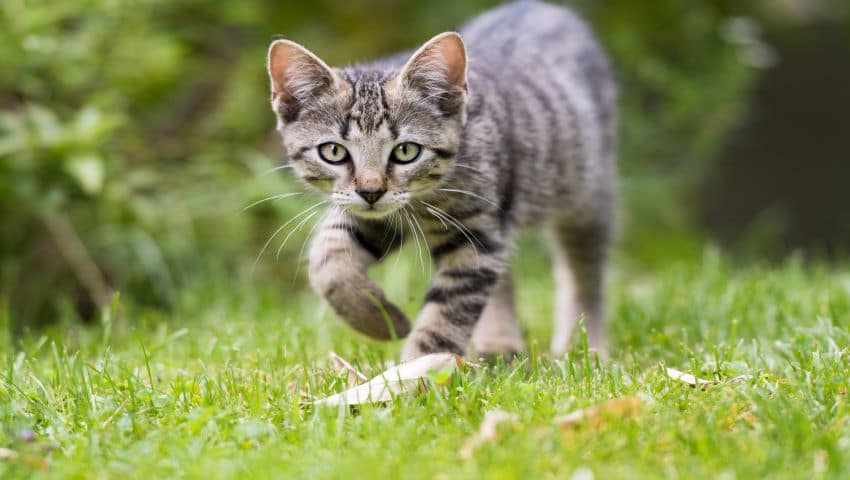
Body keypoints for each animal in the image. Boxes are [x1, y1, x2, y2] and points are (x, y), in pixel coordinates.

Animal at [266, 0, 616, 360]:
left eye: (406, 151)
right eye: (334, 152)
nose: (371, 192)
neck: (423, 200)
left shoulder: (475, 234)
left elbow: (448, 311)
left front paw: (421, 368)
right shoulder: (374, 218)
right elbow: (328, 259)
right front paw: (378, 318)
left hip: (586, 192)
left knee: (584, 270)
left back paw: (584, 346)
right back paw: (499, 343)